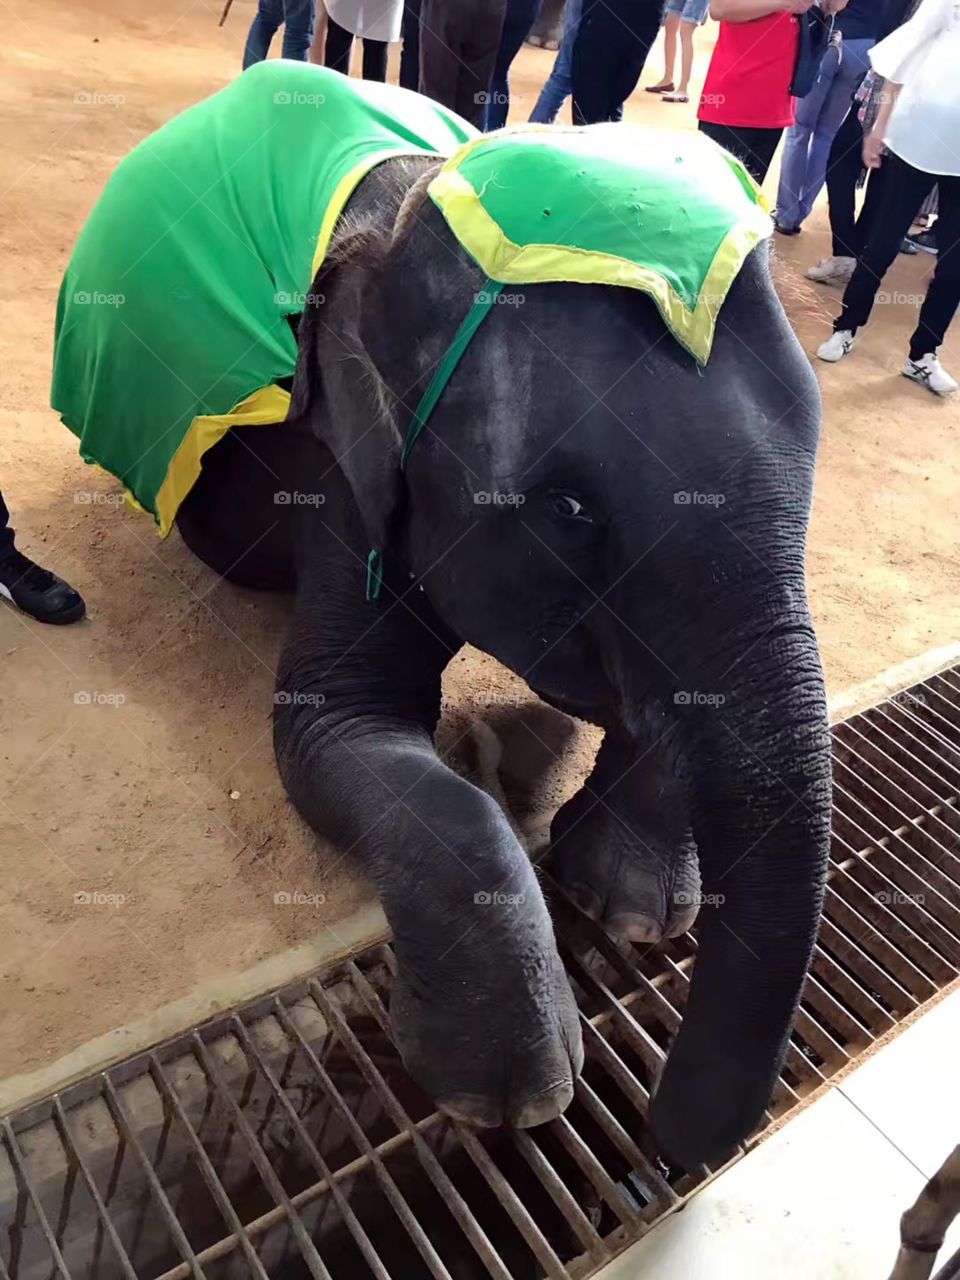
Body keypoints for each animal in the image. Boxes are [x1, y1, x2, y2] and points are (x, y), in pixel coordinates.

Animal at [170, 151, 833, 1170]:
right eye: (568, 510)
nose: (665, 1151)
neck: (414, 212)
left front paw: (635, 916)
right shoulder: (336, 469)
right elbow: (335, 721)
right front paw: (511, 1102)